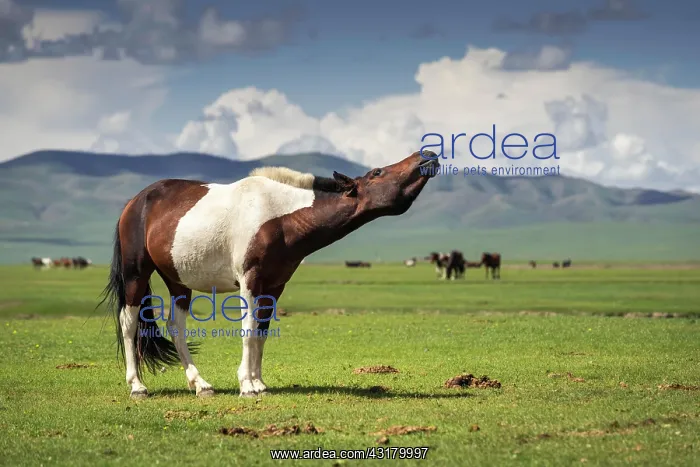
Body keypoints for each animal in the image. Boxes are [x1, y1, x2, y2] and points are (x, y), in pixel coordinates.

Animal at [98, 150, 439, 399]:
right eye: (378, 172)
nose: (427, 154)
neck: (280, 217)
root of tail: (135, 202)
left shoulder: (274, 287)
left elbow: (261, 332)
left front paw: (258, 382)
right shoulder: (250, 282)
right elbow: (249, 330)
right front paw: (246, 385)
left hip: (178, 280)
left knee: (176, 327)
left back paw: (201, 384)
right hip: (136, 275)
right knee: (129, 324)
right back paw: (138, 386)